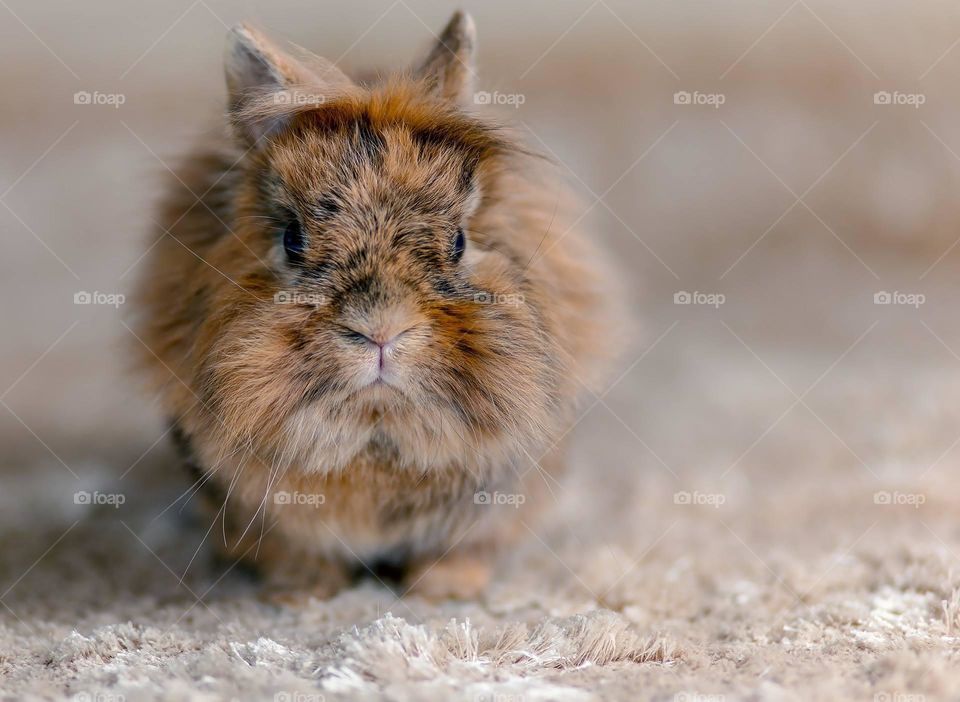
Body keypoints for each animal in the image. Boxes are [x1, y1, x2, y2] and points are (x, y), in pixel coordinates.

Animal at [132, 10, 622, 601]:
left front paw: (446, 589)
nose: (382, 332)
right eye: (292, 241)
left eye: (459, 241)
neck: (377, 433)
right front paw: (303, 592)